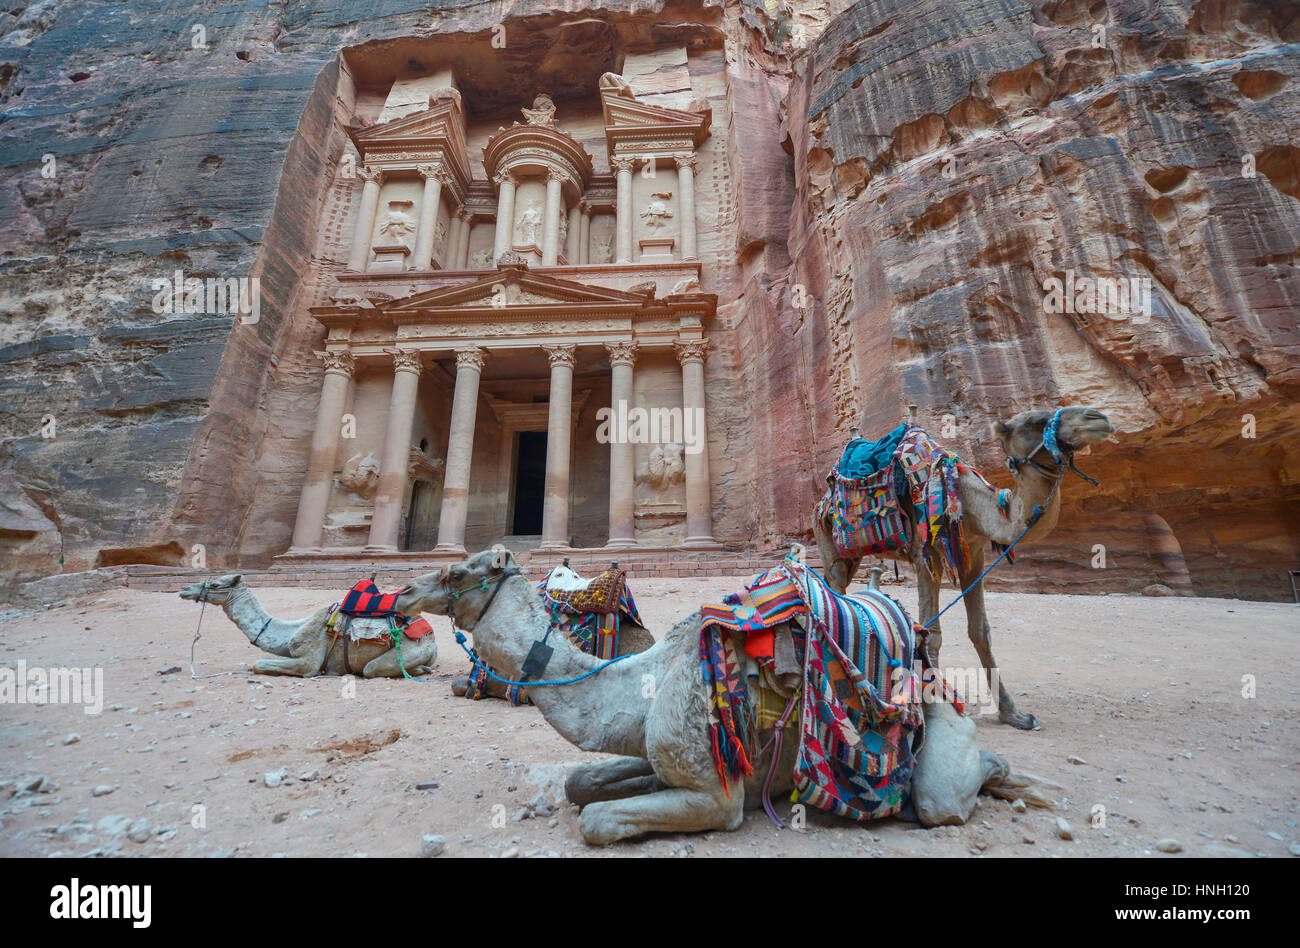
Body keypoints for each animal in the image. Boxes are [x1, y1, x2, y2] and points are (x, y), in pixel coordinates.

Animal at [178, 572, 436, 676]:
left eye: (216, 584)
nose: (185, 589)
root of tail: (431, 639)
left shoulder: (309, 661)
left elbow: (259, 664)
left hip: (410, 649)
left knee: (371, 669)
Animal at [395, 546, 1013, 842]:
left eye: (457, 573)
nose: (400, 592)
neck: (643, 681)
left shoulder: (716, 794)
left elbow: (597, 820)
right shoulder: (658, 749)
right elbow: (582, 784)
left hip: (936, 731)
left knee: (944, 795)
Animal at [806, 403, 1112, 728]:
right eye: (1036, 422)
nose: (1099, 418)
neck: (968, 502)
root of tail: (821, 501)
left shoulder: (974, 556)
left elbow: (980, 631)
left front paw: (1013, 713)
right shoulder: (926, 555)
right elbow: (932, 633)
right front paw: (935, 704)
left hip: (853, 555)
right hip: (829, 545)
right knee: (835, 593)